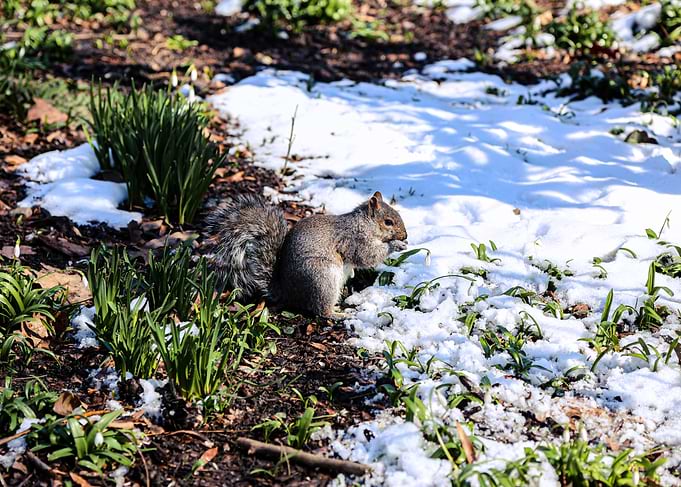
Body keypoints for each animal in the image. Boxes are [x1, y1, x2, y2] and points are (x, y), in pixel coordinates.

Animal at [207, 191, 408, 318]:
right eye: (388, 222)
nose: (405, 236)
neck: (364, 223)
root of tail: (287, 291)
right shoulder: (354, 240)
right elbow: (366, 256)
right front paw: (395, 245)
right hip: (322, 278)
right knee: (321, 310)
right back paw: (338, 314)